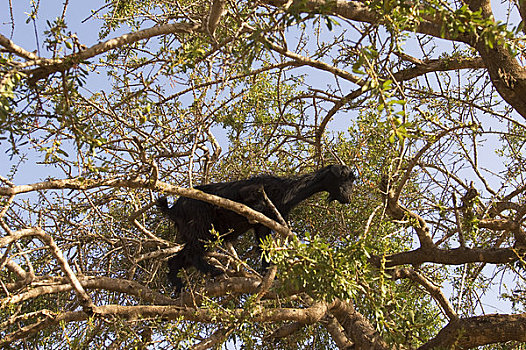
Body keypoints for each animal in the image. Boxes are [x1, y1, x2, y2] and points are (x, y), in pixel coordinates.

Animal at [159, 165, 356, 292]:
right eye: (345, 178)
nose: (348, 198)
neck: (289, 189)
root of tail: (174, 208)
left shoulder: (265, 226)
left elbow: (264, 248)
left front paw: (267, 274)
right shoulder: (252, 190)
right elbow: (254, 204)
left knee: (178, 258)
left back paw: (178, 286)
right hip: (203, 226)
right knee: (193, 253)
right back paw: (214, 271)